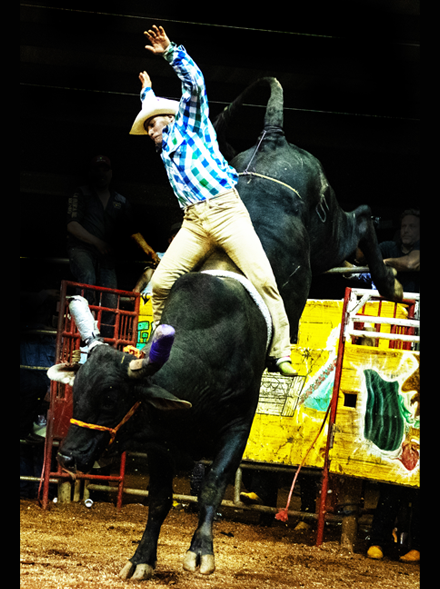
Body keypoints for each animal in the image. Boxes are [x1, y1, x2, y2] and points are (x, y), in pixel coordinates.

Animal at [49, 77, 402, 580]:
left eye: (113, 396)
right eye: (77, 390)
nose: (68, 456)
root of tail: (274, 139)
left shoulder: (239, 424)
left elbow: (214, 483)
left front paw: (201, 551)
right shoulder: (161, 438)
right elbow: (159, 501)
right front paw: (142, 558)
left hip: (330, 234)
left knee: (364, 216)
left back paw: (389, 281)